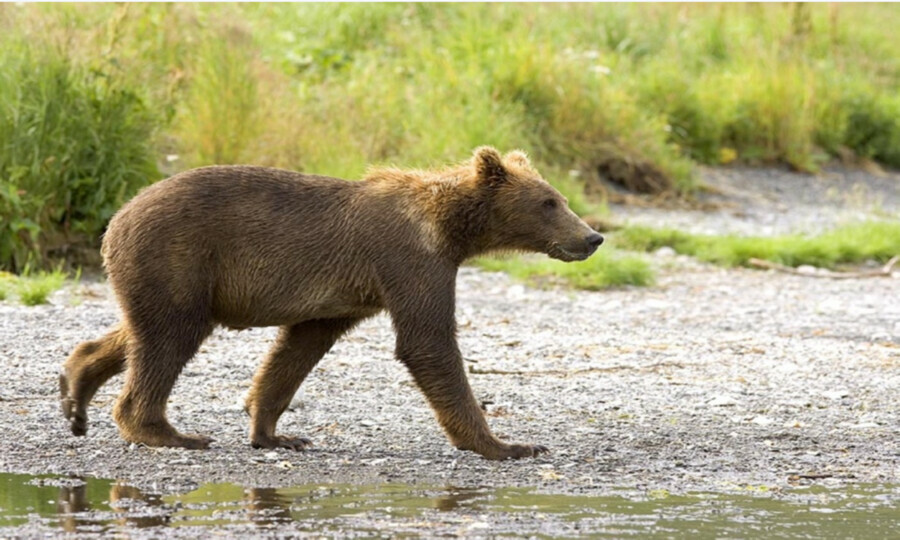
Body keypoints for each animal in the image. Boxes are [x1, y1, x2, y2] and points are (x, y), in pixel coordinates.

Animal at [59, 147, 600, 460]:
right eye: (549, 202)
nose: (592, 237)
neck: (451, 231)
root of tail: (117, 217)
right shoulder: (408, 259)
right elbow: (427, 343)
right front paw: (507, 443)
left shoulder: (343, 296)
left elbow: (298, 348)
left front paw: (275, 432)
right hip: (180, 257)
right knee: (167, 339)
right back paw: (167, 431)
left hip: (172, 275)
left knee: (138, 330)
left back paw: (76, 392)